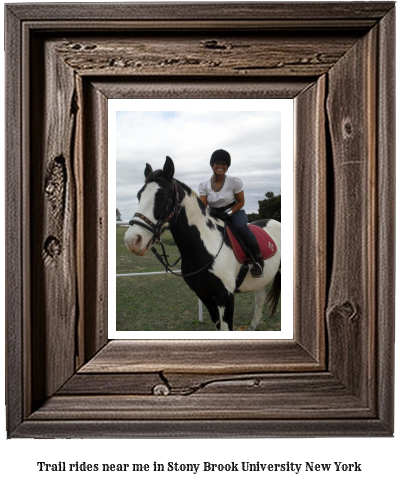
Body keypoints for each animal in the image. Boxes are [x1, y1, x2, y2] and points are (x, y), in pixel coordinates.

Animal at [125, 158, 282, 334]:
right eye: (139, 195)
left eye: (162, 195)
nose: (132, 240)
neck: (207, 245)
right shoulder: (204, 295)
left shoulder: (225, 297)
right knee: (260, 298)